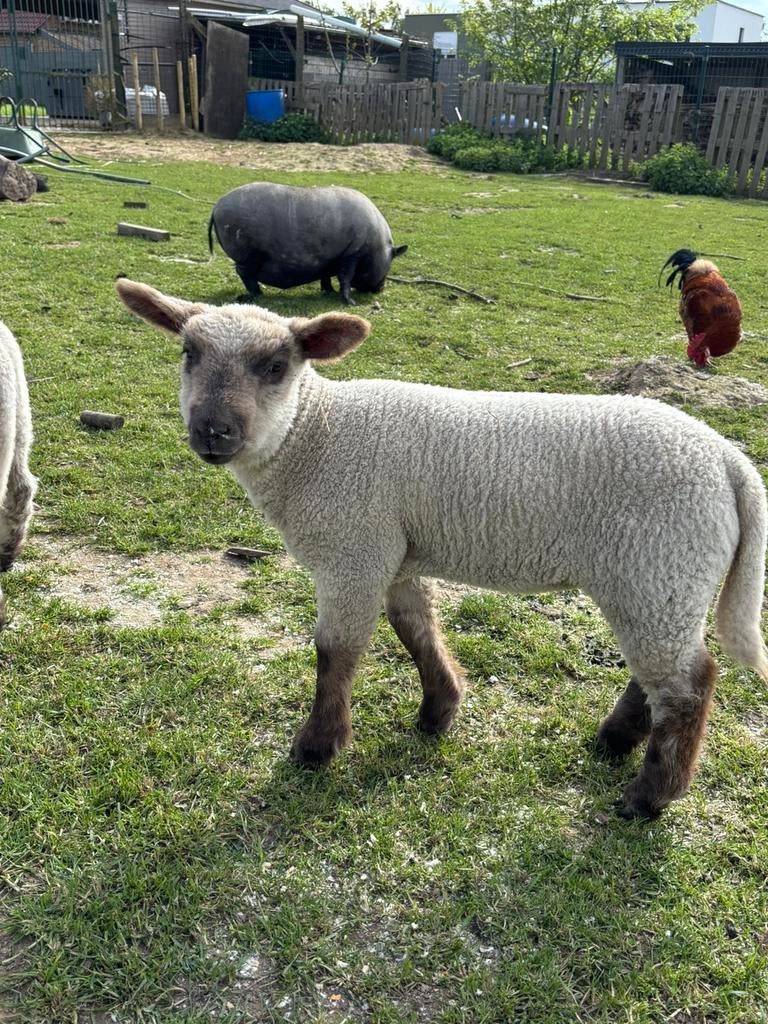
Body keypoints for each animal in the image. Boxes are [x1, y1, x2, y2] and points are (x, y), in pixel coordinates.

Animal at [117, 279, 768, 820]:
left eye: (277, 365)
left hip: (658, 565)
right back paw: (615, 741)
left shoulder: (352, 549)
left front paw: (318, 747)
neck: (315, 436)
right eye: (187, 354)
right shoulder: (392, 549)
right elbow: (415, 627)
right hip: (657, 579)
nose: (213, 431)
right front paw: (439, 711)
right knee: (659, 670)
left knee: (687, 684)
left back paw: (650, 796)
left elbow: (334, 652)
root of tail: (729, 463)